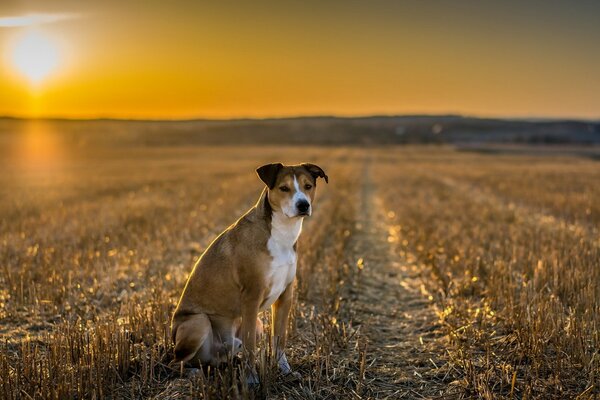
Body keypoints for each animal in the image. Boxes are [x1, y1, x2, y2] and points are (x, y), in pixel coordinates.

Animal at [169, 162, 328, 382]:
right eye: (284, 188)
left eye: (308, 186)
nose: (303, 205)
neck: (280, 233)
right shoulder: (252, 297)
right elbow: (251, 346)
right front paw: (251, 379)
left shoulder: (285, 296)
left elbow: (279, 340)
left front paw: (285, 371)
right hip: (198, 322)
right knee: (175, 362)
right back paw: (194, 373)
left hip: (254, 327)